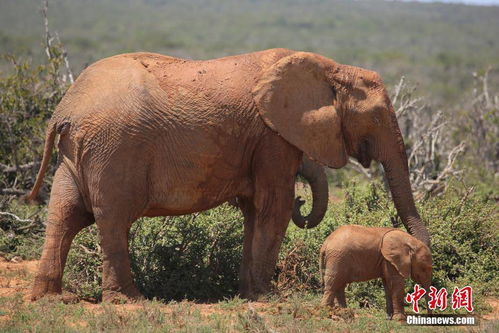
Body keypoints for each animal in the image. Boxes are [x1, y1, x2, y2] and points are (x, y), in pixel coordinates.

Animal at [29, 48, 432, 300]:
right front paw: (270, 297)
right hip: (113, 148)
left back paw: (51, 299)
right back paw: (130, 300)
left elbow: (256, 210)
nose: (426, 263)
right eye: (377, 116)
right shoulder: (271, 134)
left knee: (64, 215)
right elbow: (275, 205)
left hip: (77, 154)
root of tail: (65, 108)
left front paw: (248, 294)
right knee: (112, 219)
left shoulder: (263, 138)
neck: (330, 68)